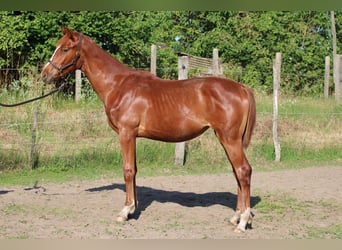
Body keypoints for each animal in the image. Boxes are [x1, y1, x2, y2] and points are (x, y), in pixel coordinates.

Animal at [41, 26, 255, 232]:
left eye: (65, 49)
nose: (45, 74)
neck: (118, 85)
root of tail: (241, 88)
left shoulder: (126, 134)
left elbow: (127, 170)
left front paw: (124, 211)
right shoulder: (133, 136)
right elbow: (134, 170)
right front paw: (133, 209)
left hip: (229, 139)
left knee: (243, 171)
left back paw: (243, 222)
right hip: (226, 139)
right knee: (237, 173)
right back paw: (235, 217)